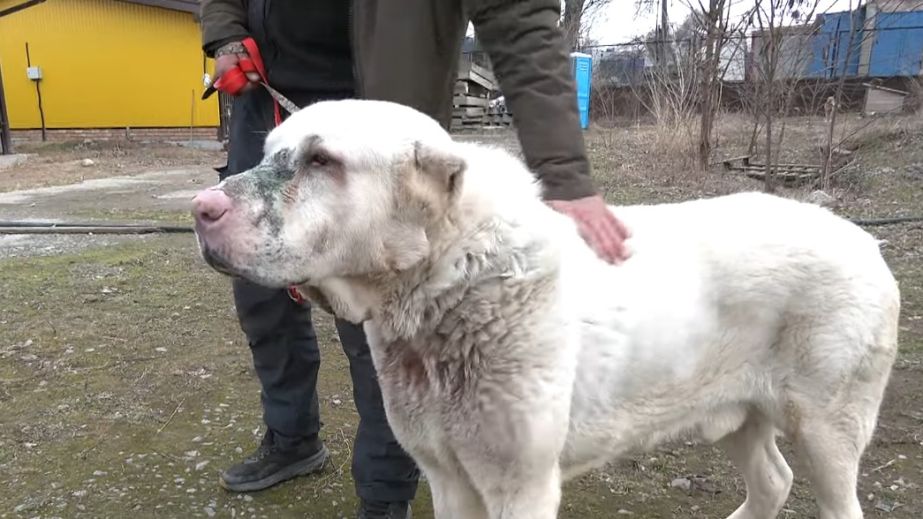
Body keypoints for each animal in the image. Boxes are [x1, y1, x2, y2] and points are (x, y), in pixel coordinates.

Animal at [191, 99, 900, 516]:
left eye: (322, 160)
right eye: (267, 153)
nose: (202, 209)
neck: (451, 282)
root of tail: (866, 238)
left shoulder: (521, 484)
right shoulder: (448, 477)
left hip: (828, 429)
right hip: (734, 411)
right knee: (773, 481)